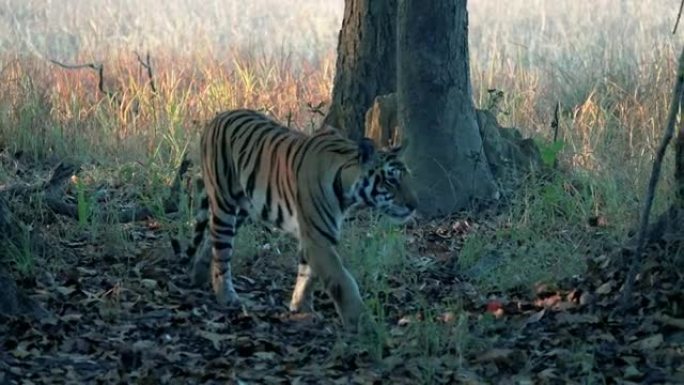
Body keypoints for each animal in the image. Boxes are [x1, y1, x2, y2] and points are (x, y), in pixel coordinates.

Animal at [171, 107, 416, 328]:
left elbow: (307, 275)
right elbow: (342, 281)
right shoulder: (319, 238)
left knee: (212, 241)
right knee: (222, 251)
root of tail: (216, 118)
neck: (348, 189)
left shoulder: (312, 236)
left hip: (242, 208)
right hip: (224, 202)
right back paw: (226, 296)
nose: (414, 205)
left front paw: (301, 308)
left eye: (406, 177)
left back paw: (199, 276)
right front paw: (363, 323)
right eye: (391, 180)